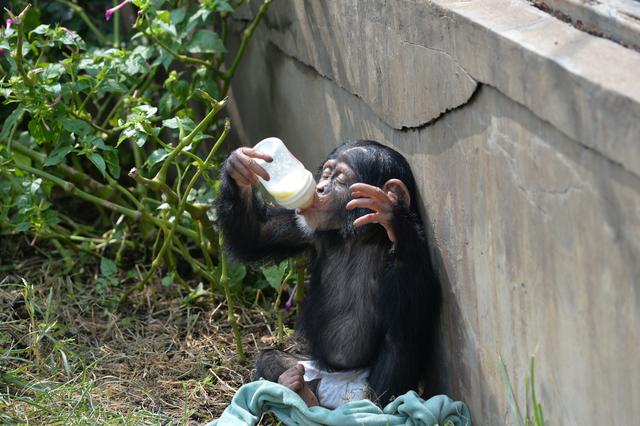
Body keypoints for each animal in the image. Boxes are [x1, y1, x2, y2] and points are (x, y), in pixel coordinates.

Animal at [215, 140, 440, 406]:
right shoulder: (303, 227)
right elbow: (257, 234)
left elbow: (418, 296)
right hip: (312, 367)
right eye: (325, 174)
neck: (357, 236)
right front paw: (240, 167)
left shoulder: (418, 252)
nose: (320, 188)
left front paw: (392, 215)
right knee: (271, 359)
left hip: (362, 387)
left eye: (341, 179)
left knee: (398, 343)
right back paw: (297, 386)